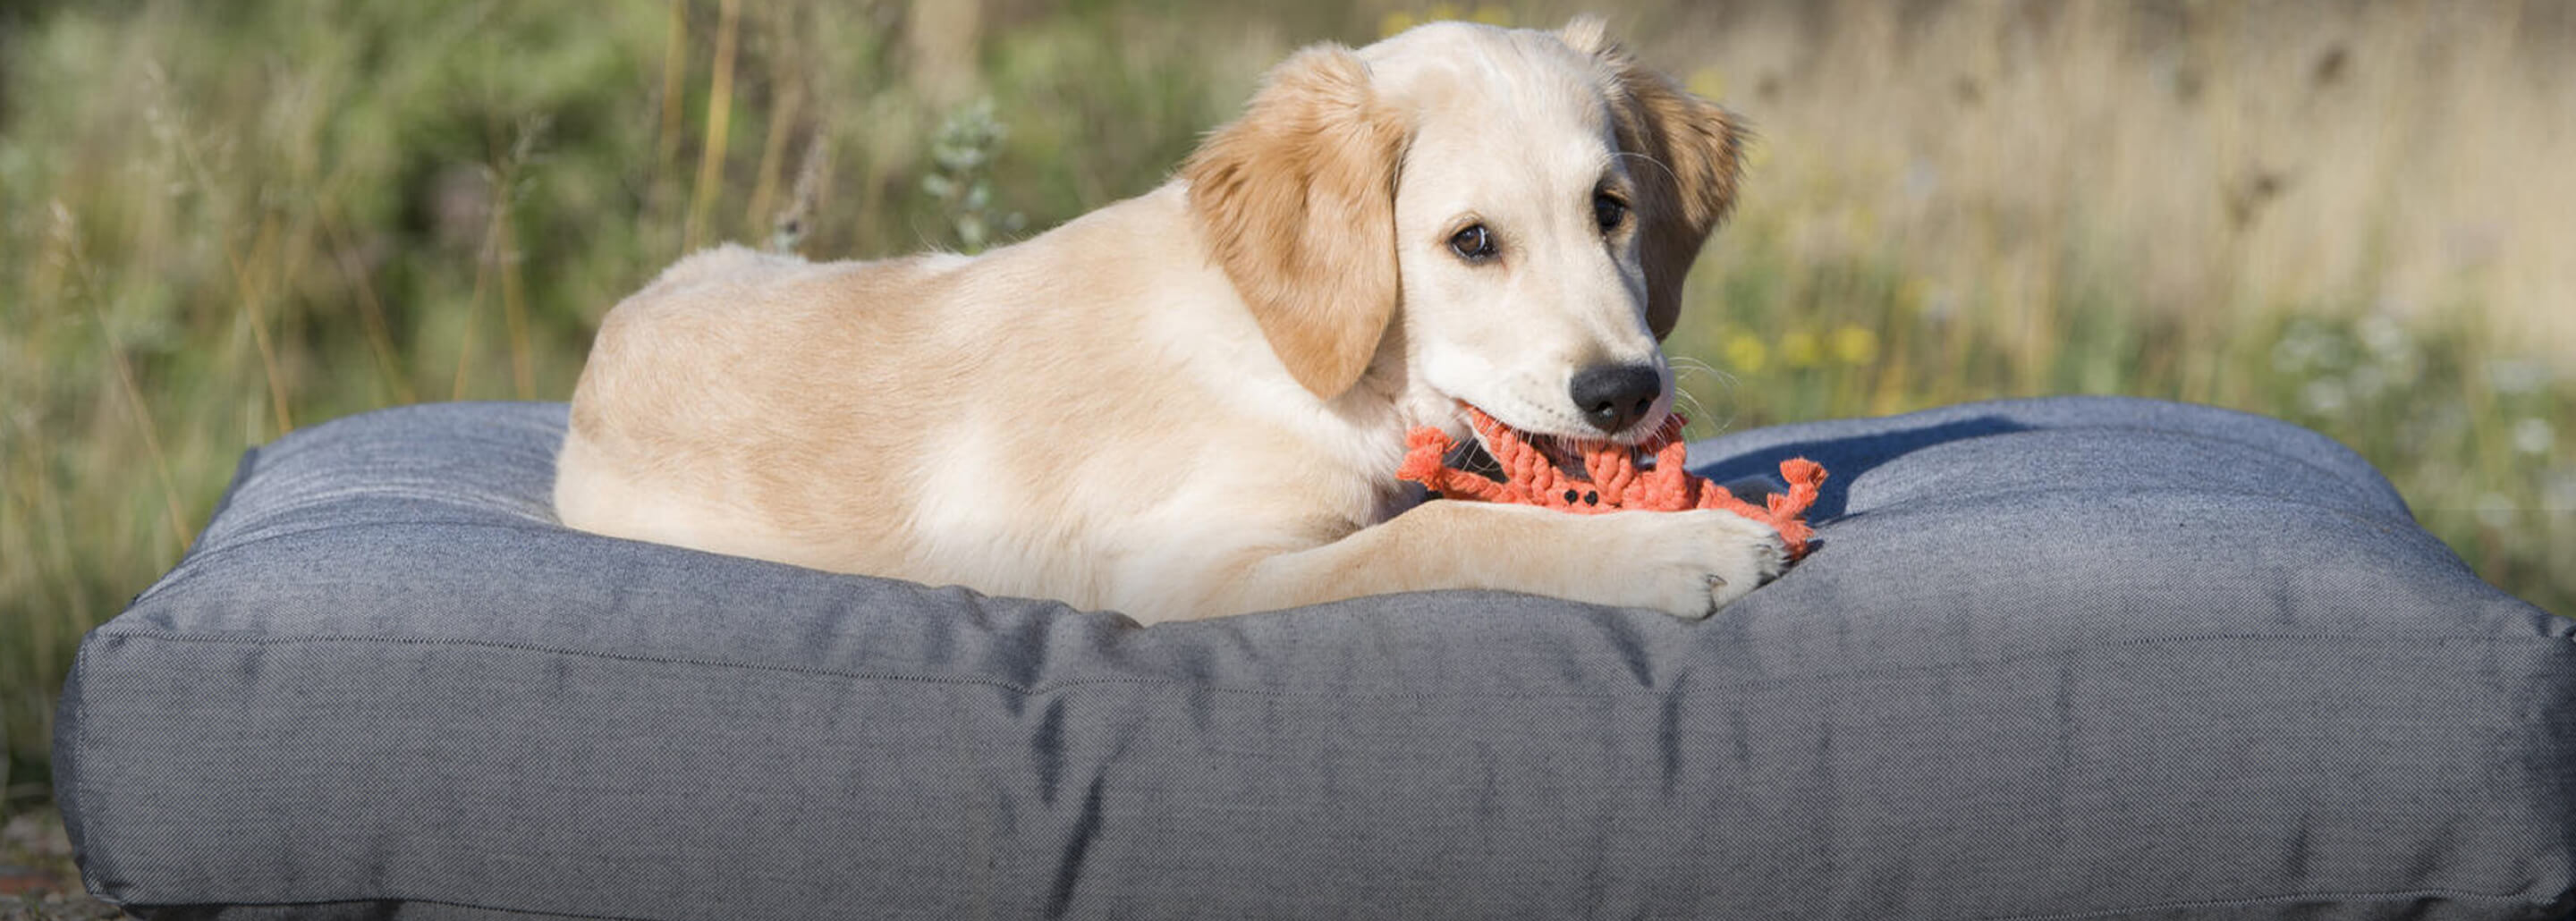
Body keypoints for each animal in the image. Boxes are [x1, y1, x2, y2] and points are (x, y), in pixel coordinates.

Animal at [556, 20, 1782, 625]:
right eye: (1472, 242)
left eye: (1611, 210)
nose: (1624, 394)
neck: (1302, 355)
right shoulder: (1187, 573)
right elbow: (1445, 534)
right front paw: (1681, 548)